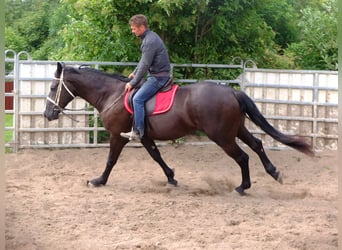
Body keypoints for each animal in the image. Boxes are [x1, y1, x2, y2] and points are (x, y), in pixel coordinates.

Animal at [42, 62, 312, 193]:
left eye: (54, 87)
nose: (47, 114)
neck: (113, 95)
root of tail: (232, 91)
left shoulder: (118, 136)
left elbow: (111, 160)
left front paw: (98, 181)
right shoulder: (144, 136)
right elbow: (156, 156)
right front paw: (171, 177)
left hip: (223, 136)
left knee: (243, 156)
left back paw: (242, 187)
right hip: (236, 130)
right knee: (257, 145)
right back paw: (274, 172)